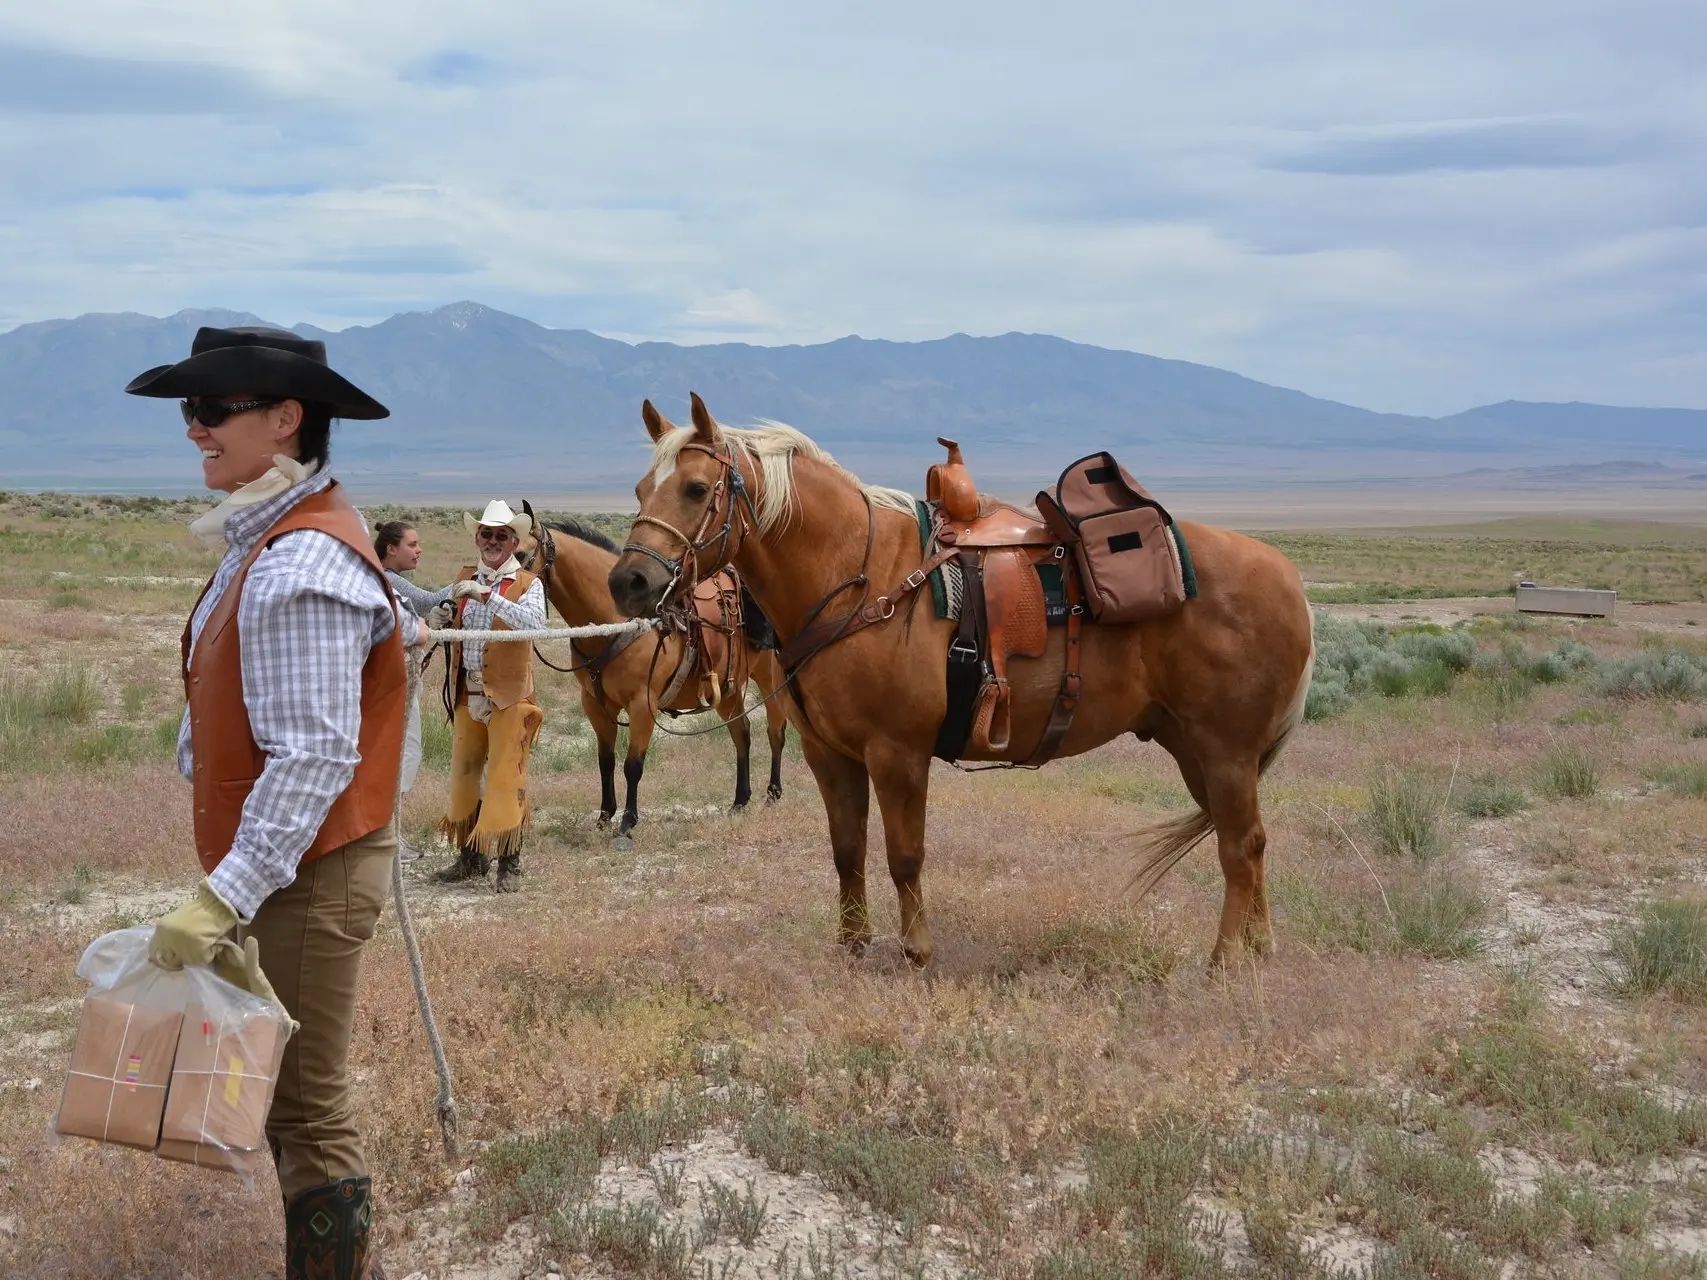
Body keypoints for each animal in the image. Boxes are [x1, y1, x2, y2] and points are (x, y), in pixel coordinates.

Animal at [529, 515, 788, 836]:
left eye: (520, 553)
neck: (616, 623)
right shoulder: (594, 704)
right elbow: (605, 760)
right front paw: (604, 815)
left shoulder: (643, 704)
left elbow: (633, 765)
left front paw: (628, 821)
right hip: (727, 689)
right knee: (741, 733)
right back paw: (740, 800)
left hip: (769, 679)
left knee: (775, 730)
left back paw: (773, 793)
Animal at [607, 395, 1310, 969]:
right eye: (640, 488)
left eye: (696, 488)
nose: (628, 582)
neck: (860, 577)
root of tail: (1288, 576)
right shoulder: (829, 755)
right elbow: (847, 850)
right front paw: (853, 946)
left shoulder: (898, 753)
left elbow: (904, 854)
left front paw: (917, 951)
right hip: (1198, 747)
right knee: (1247, 839)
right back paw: (1259, 948)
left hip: (1224, 748)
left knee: (1238, 845)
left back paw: (1225, 964)